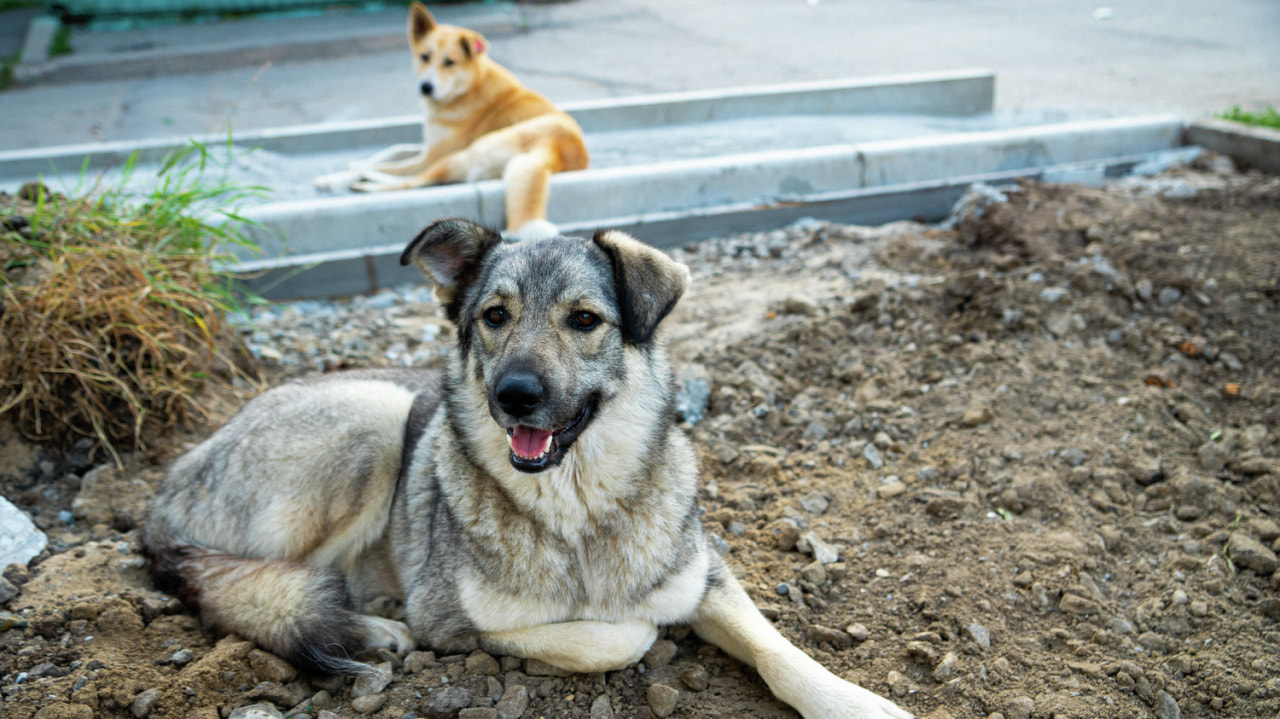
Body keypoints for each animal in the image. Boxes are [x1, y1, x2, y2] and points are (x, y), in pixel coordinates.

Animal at [140, 220, 911, 716]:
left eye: (584, 320)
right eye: (495, 315)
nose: (514, 395)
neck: (578, 506)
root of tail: (164, 488)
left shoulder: (704, 573)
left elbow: (777, 648)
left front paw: (852, 701)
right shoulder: (451, 616)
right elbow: (612, 634)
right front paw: (635, 631)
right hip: (375, 417)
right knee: (266, 585)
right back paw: (368, 626)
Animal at [350, 2, 588, 237]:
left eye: (449, 62)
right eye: (424, 57)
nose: (426, 87)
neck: (467, 89)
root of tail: (558, 150)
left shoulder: (431, 156)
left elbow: (397, 166)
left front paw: (350, 172)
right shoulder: (427, 148)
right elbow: (395, 150)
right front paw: (359, 163)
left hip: (463, 155)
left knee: (414, 182)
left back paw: (365, 182)